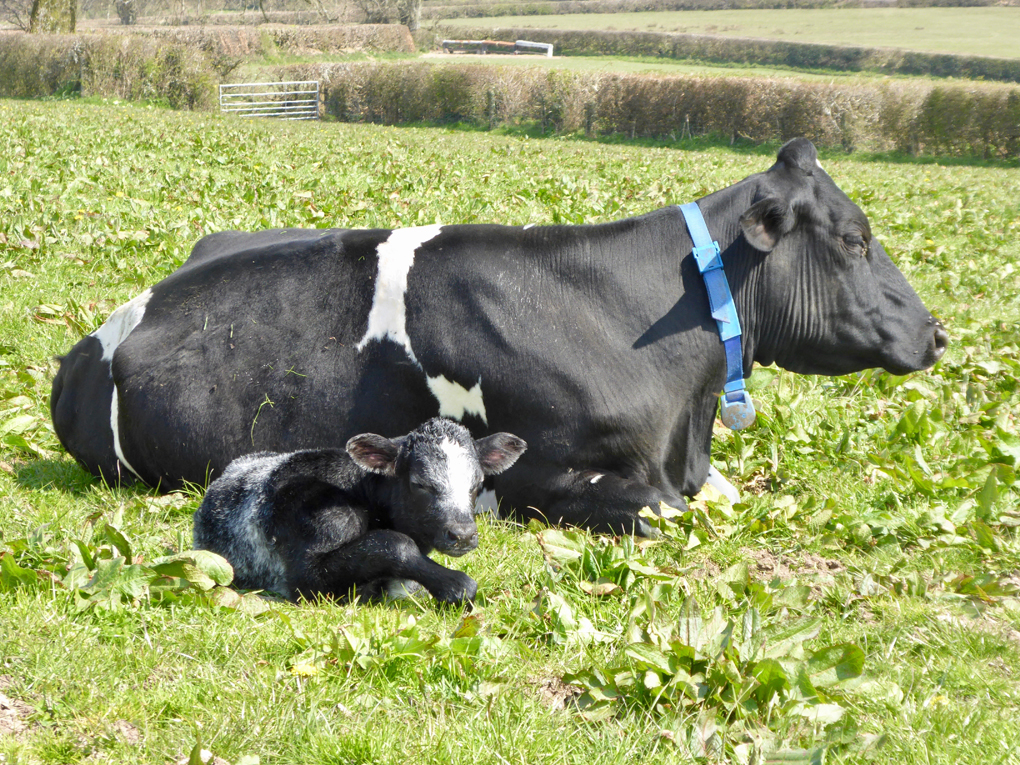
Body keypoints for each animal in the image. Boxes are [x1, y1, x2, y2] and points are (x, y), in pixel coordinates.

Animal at [191, 420, 526, 603]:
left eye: (477, 483)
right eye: (419, 484)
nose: (463, 535)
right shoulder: (306, 573)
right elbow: (394, 543)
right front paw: (455, 585)